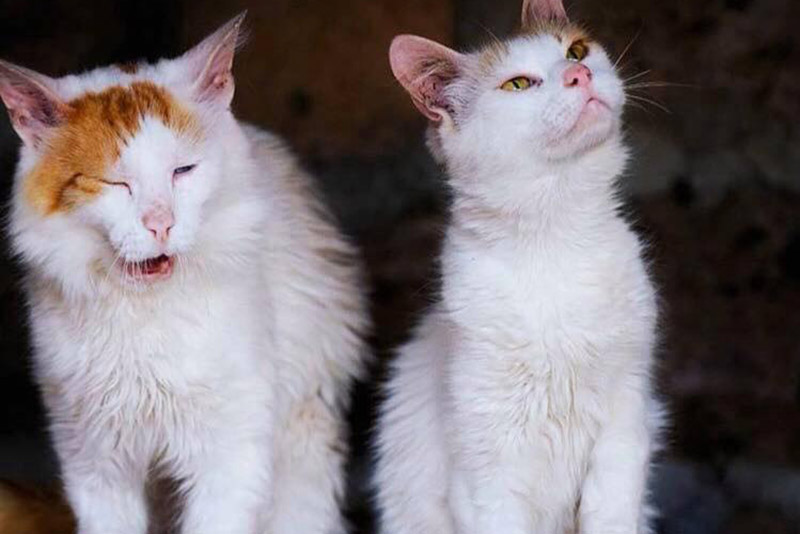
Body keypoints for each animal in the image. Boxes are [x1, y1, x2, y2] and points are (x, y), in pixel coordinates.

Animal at [0, 13, 368, 534]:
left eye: (183, 171)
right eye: (115, 184)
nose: (161, 223)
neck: (144, 319)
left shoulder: (230, 456)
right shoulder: (94, 462)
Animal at [374, 0, 664, 533]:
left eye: (577, 50)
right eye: (518, 84)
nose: (578, 74)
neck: (554, 242)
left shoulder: (626, 426)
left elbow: (612, 511)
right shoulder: (487, 475)